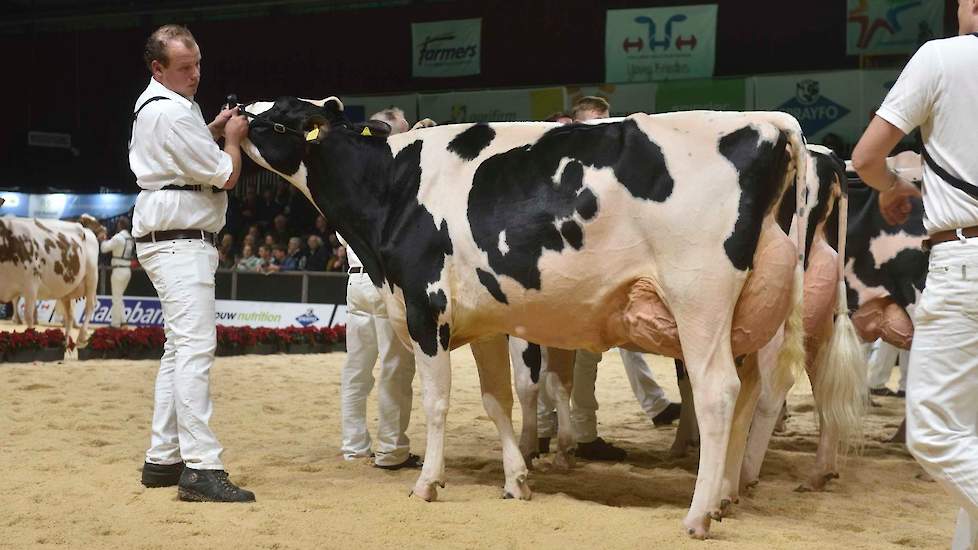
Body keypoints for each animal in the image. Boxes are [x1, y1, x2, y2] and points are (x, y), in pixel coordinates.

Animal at [0, 217, 100, 350]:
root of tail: (87, 231)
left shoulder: (31, 284)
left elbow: (28, 316)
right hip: (66, 290)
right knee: (69, 314)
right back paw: (65, 343)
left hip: (91, 277)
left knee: (90, 306)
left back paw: (81, 336)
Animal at [240, 97, 812, 540]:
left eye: (282, 113)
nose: (233, 107)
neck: (393, 189)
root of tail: (765, 122)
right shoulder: (486, 320)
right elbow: (497, 400)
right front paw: (516, 481)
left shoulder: (426, 307)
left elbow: (437, 401)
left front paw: (428, 483)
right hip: (747, 316)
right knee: (748, 394)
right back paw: (723, 498)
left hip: (699, 299)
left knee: (718, 393)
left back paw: (697, 516)